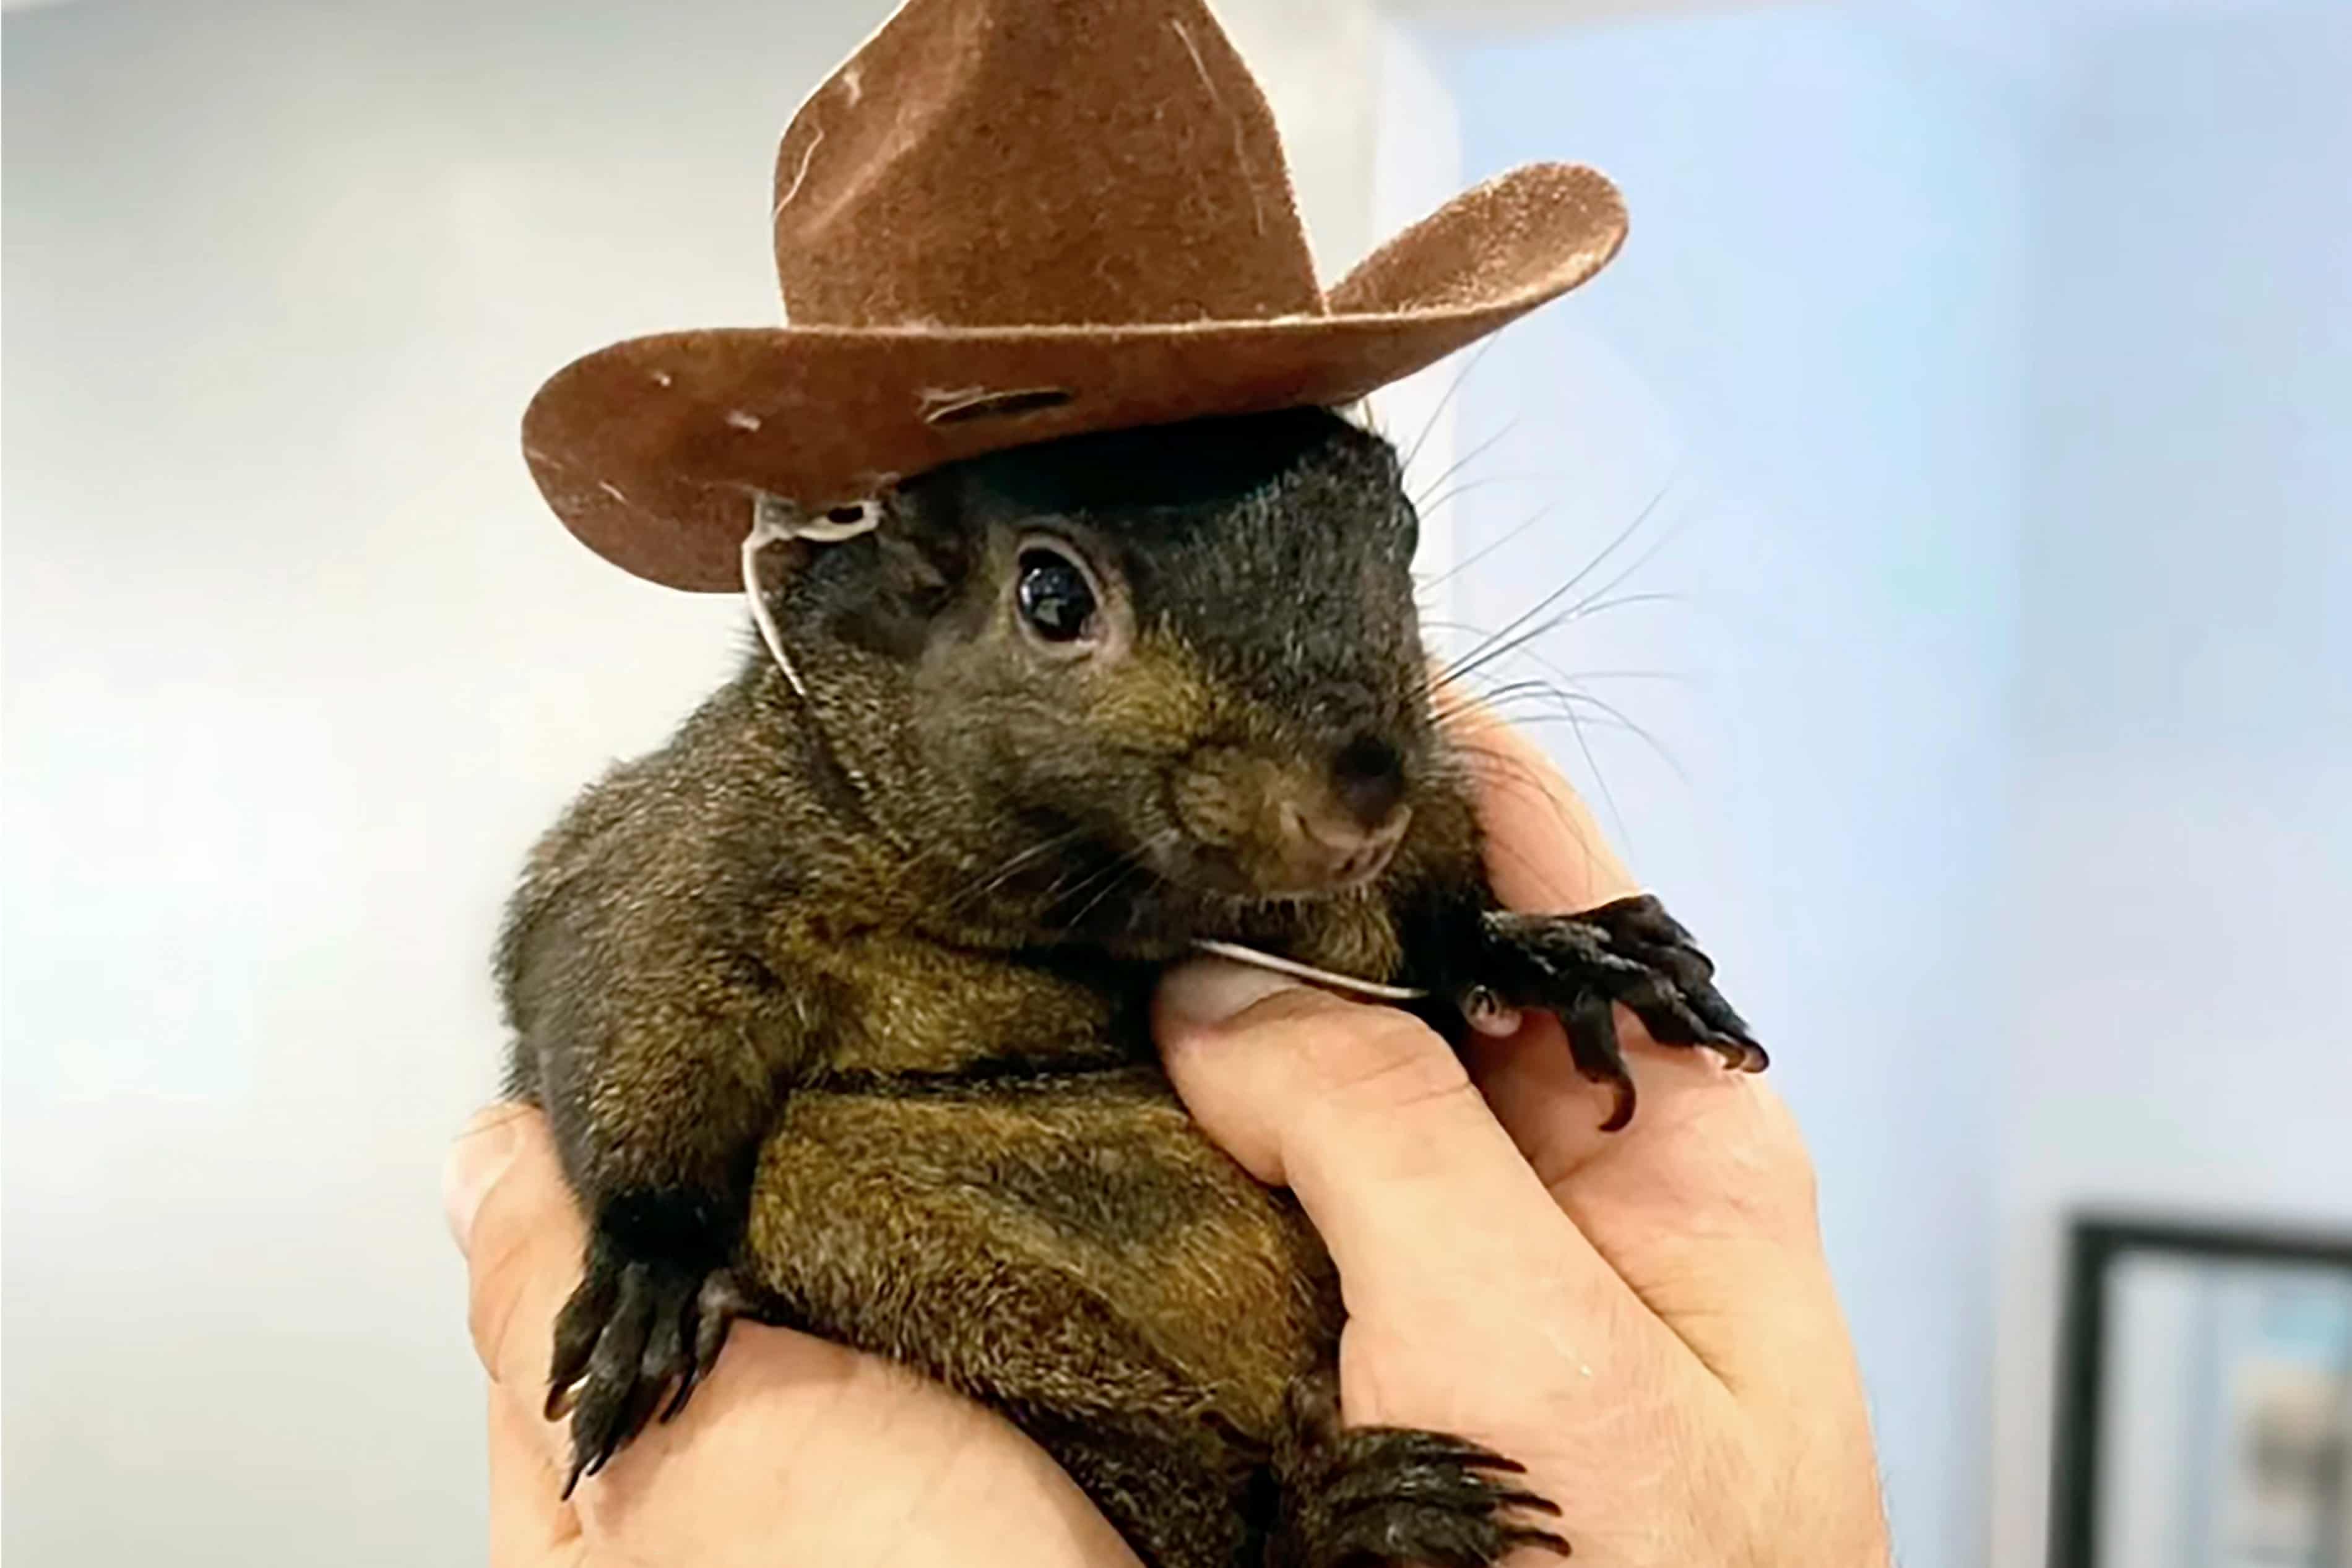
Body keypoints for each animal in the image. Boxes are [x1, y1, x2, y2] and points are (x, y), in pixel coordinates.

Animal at [495, 404, 1763, 1568]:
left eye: (1399, 526)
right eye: (1050, 596)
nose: (1361, 800)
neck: (1106, 909)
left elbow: (1437, 928)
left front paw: (1550, 949)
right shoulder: (694, 851)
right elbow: (628, 997)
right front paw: (651, 1269)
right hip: (921, 1272)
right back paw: (1345, 1519)